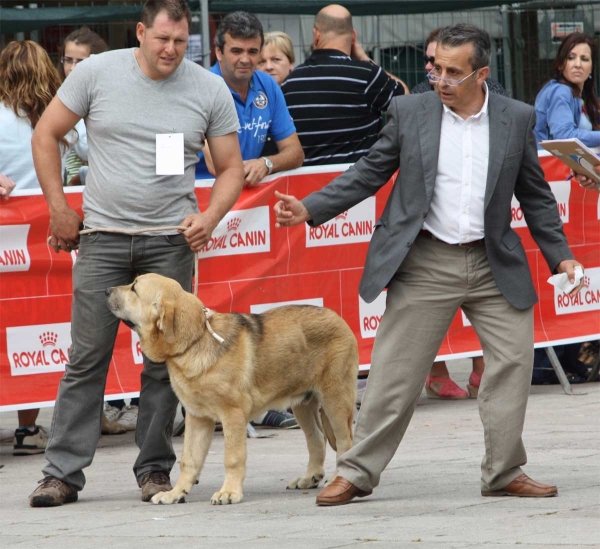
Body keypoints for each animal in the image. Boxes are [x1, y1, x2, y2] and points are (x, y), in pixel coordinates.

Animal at [106, 274, 358, 506]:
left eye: (134, 288)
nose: (106, 290)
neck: (195, 340)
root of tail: (337, 317)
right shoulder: (197, 418)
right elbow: (189, 459)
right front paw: (175, 493)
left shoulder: (232, 415)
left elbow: (232, 457)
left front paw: (229, 492)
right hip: (302, 404)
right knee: (317, 439)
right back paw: (310, 477)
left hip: (335, 400)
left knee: (345, 442)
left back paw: (338, 478)